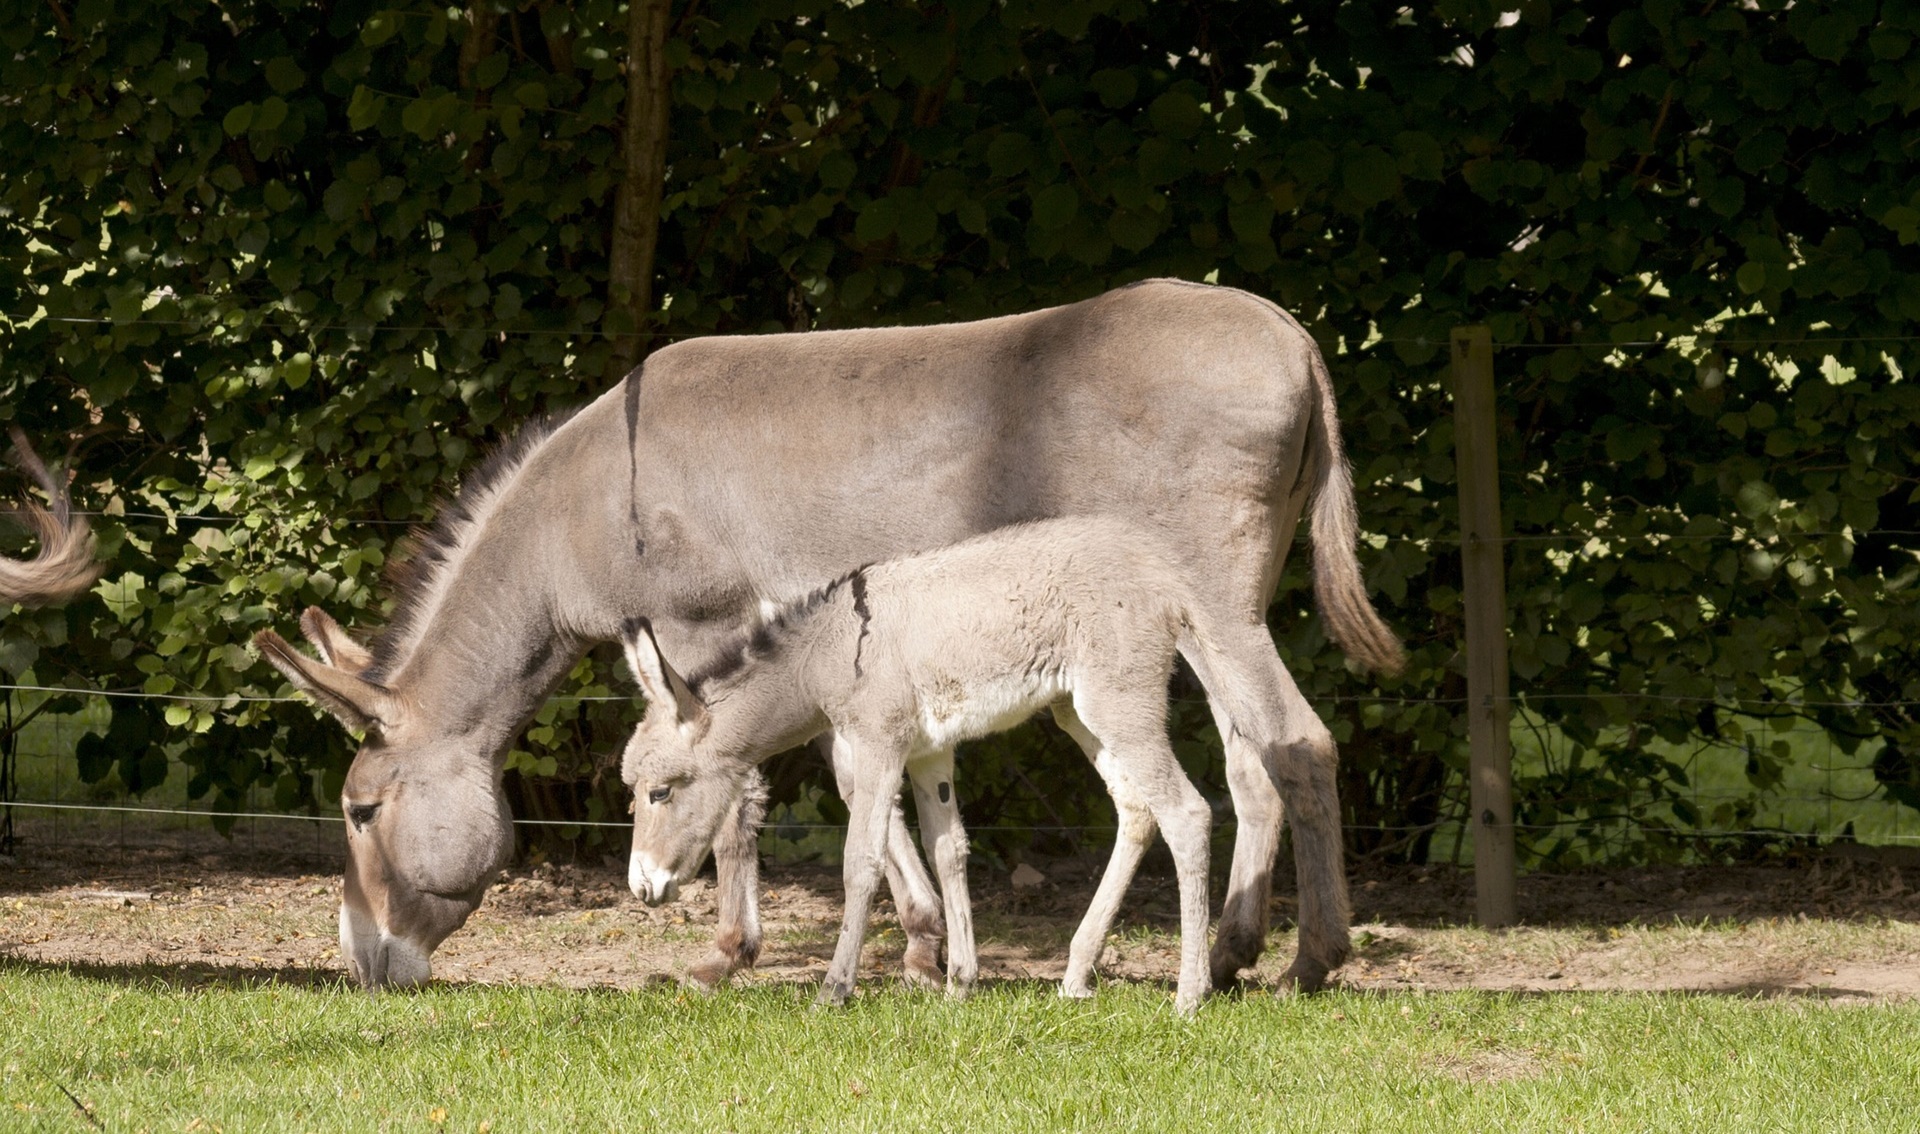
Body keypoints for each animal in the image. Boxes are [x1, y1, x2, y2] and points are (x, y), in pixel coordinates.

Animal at [614, 518, 1244, 1013]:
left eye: (660, 793)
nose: (642, 887)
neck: (825, 649)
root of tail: (1165, 579)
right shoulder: (928, 752)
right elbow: (949, 849)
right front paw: (959, 983)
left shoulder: (878, 744)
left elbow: (861, 860)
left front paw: (835, 989)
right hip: (1078, 712)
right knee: (1137, 810)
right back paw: (1075, 977)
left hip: (1121, 703)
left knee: (1186, 812)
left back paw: (1190, 994)